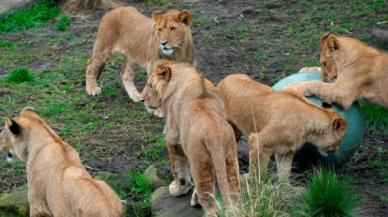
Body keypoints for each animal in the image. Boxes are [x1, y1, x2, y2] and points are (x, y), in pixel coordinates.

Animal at [142, 60, 239, 216]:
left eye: (150, 85)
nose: (142, 99)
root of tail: (215, 134)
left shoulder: (173, 139)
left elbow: (178, 170)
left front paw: (177, 190)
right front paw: (193, 197)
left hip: (199, 163)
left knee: (211, 205)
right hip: (230, 160)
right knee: (234, 197)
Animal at [217, 74, 348, 183]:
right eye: (340, 139)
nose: (337, 149)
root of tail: (224, 80)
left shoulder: (286, 151)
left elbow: (284, 172)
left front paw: (286, 190)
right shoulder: (258, 142)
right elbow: (258, 170)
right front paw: (255, 187)